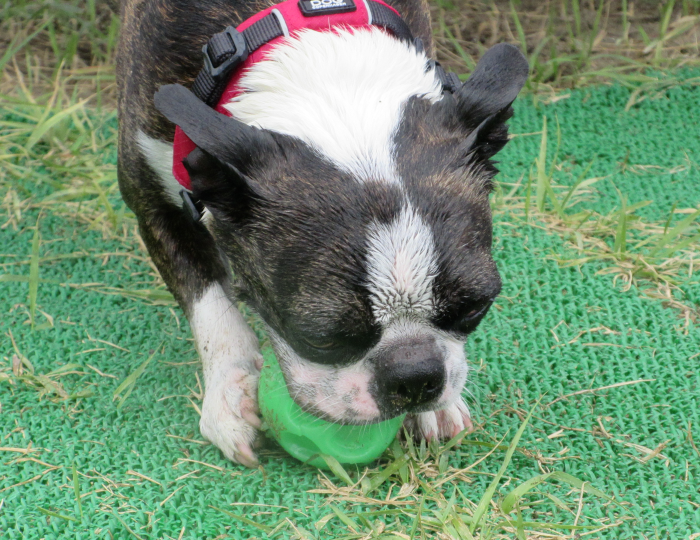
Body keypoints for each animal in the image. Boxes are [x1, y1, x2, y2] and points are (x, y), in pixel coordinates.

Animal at [116, 0, 527, 467]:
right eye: (321, 339)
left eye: (475, 307)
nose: (414, 375)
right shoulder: (152, 201)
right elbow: (210, 305)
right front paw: (231, 389)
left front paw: (433, 412)